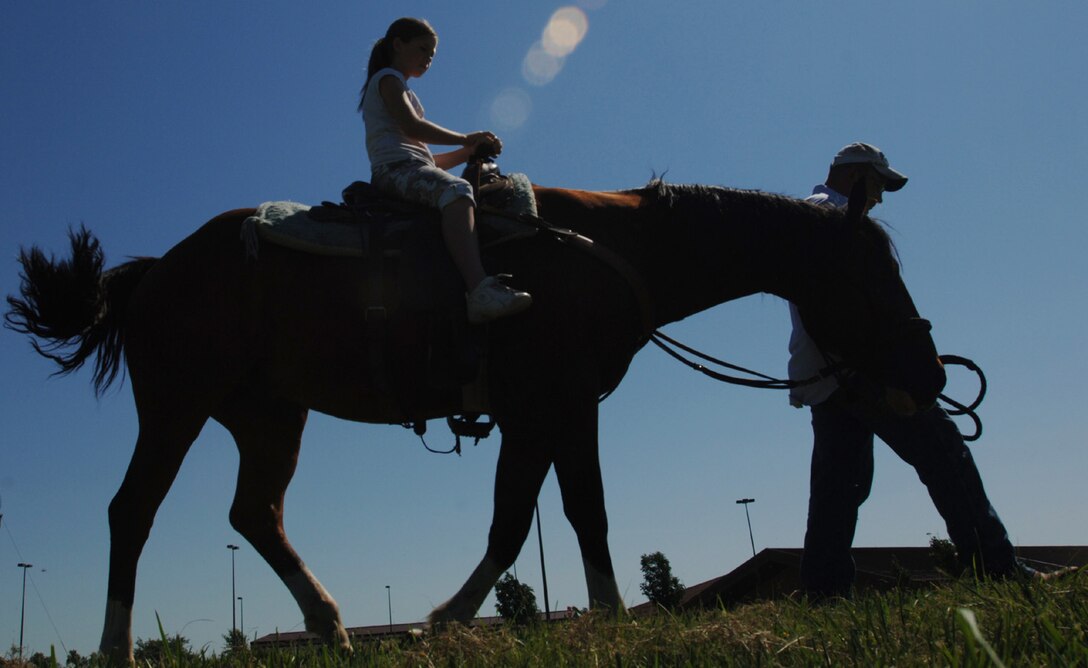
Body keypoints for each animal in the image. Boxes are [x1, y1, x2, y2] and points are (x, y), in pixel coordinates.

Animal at [6, 180, 945, 662]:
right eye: (875, 273)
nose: (933, 374)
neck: (605, 251)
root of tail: (152, 271)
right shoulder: (559, 404)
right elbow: (568, 515)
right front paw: (594, 618)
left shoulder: (542, 414)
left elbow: (524, 520)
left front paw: (457, 619)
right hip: (177, 403)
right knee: (133, 511)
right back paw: (118, 647)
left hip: (270, 416)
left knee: (256, 514)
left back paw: (332, 625)